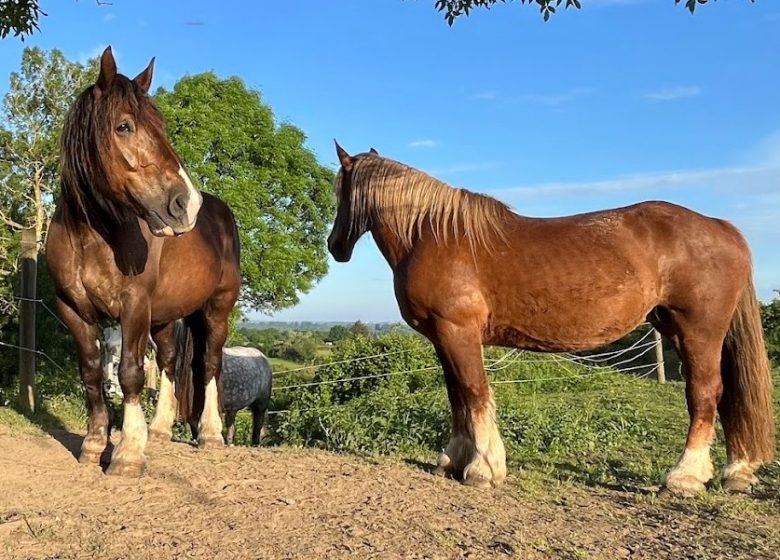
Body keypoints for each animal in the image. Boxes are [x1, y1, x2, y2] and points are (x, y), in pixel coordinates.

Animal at [46, 47, 241, 477]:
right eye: (124, 126)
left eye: (161, 125)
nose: (186, 204)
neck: (91, 234)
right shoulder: (73, 310)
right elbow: (92, 372)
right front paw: (94, 445)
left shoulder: (133, 305)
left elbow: (130, 373)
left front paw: (128, 454)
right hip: (166, 316)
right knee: (169, 361)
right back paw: (161, 430)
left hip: (217, 308)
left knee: (210, 363)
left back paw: (210, 435)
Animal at [327, 143, 775, 496]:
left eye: (338, 190)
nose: (335, 246)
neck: (433, 235)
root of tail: (723, 228)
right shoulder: (444, 338)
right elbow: (457, 398)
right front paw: (452, 460)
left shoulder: (458, 331)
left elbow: (474, 394)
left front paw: (483, 469)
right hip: (679, 329)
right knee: (727, 394)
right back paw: (736, 472)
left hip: (699, 331)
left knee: (705, 394)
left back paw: (684, 478)